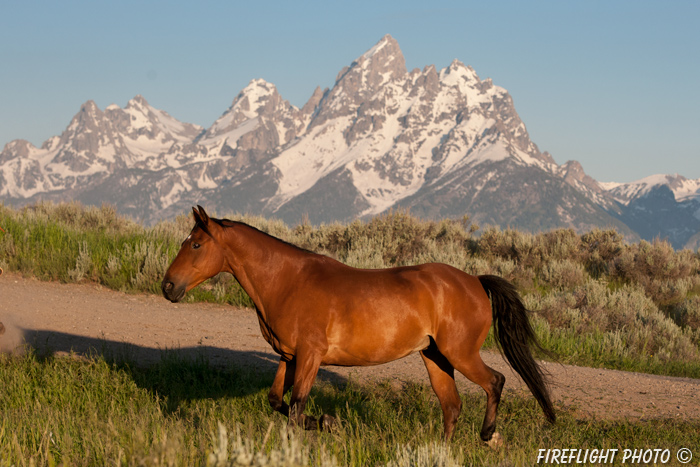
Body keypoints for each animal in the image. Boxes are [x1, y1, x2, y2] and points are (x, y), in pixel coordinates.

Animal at [161, 207, 556, 444]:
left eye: (196, 244)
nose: (168, 286)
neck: (287, 281)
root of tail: (474, 281)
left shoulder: (310, 356)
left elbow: (297, 409)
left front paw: (326, 422)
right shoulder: (289, 357)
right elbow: (277, 401)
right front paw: (327, 421)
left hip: (460, 353)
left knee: (495, 381)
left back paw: (488, 435)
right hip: (435, 357)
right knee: (452, 406)